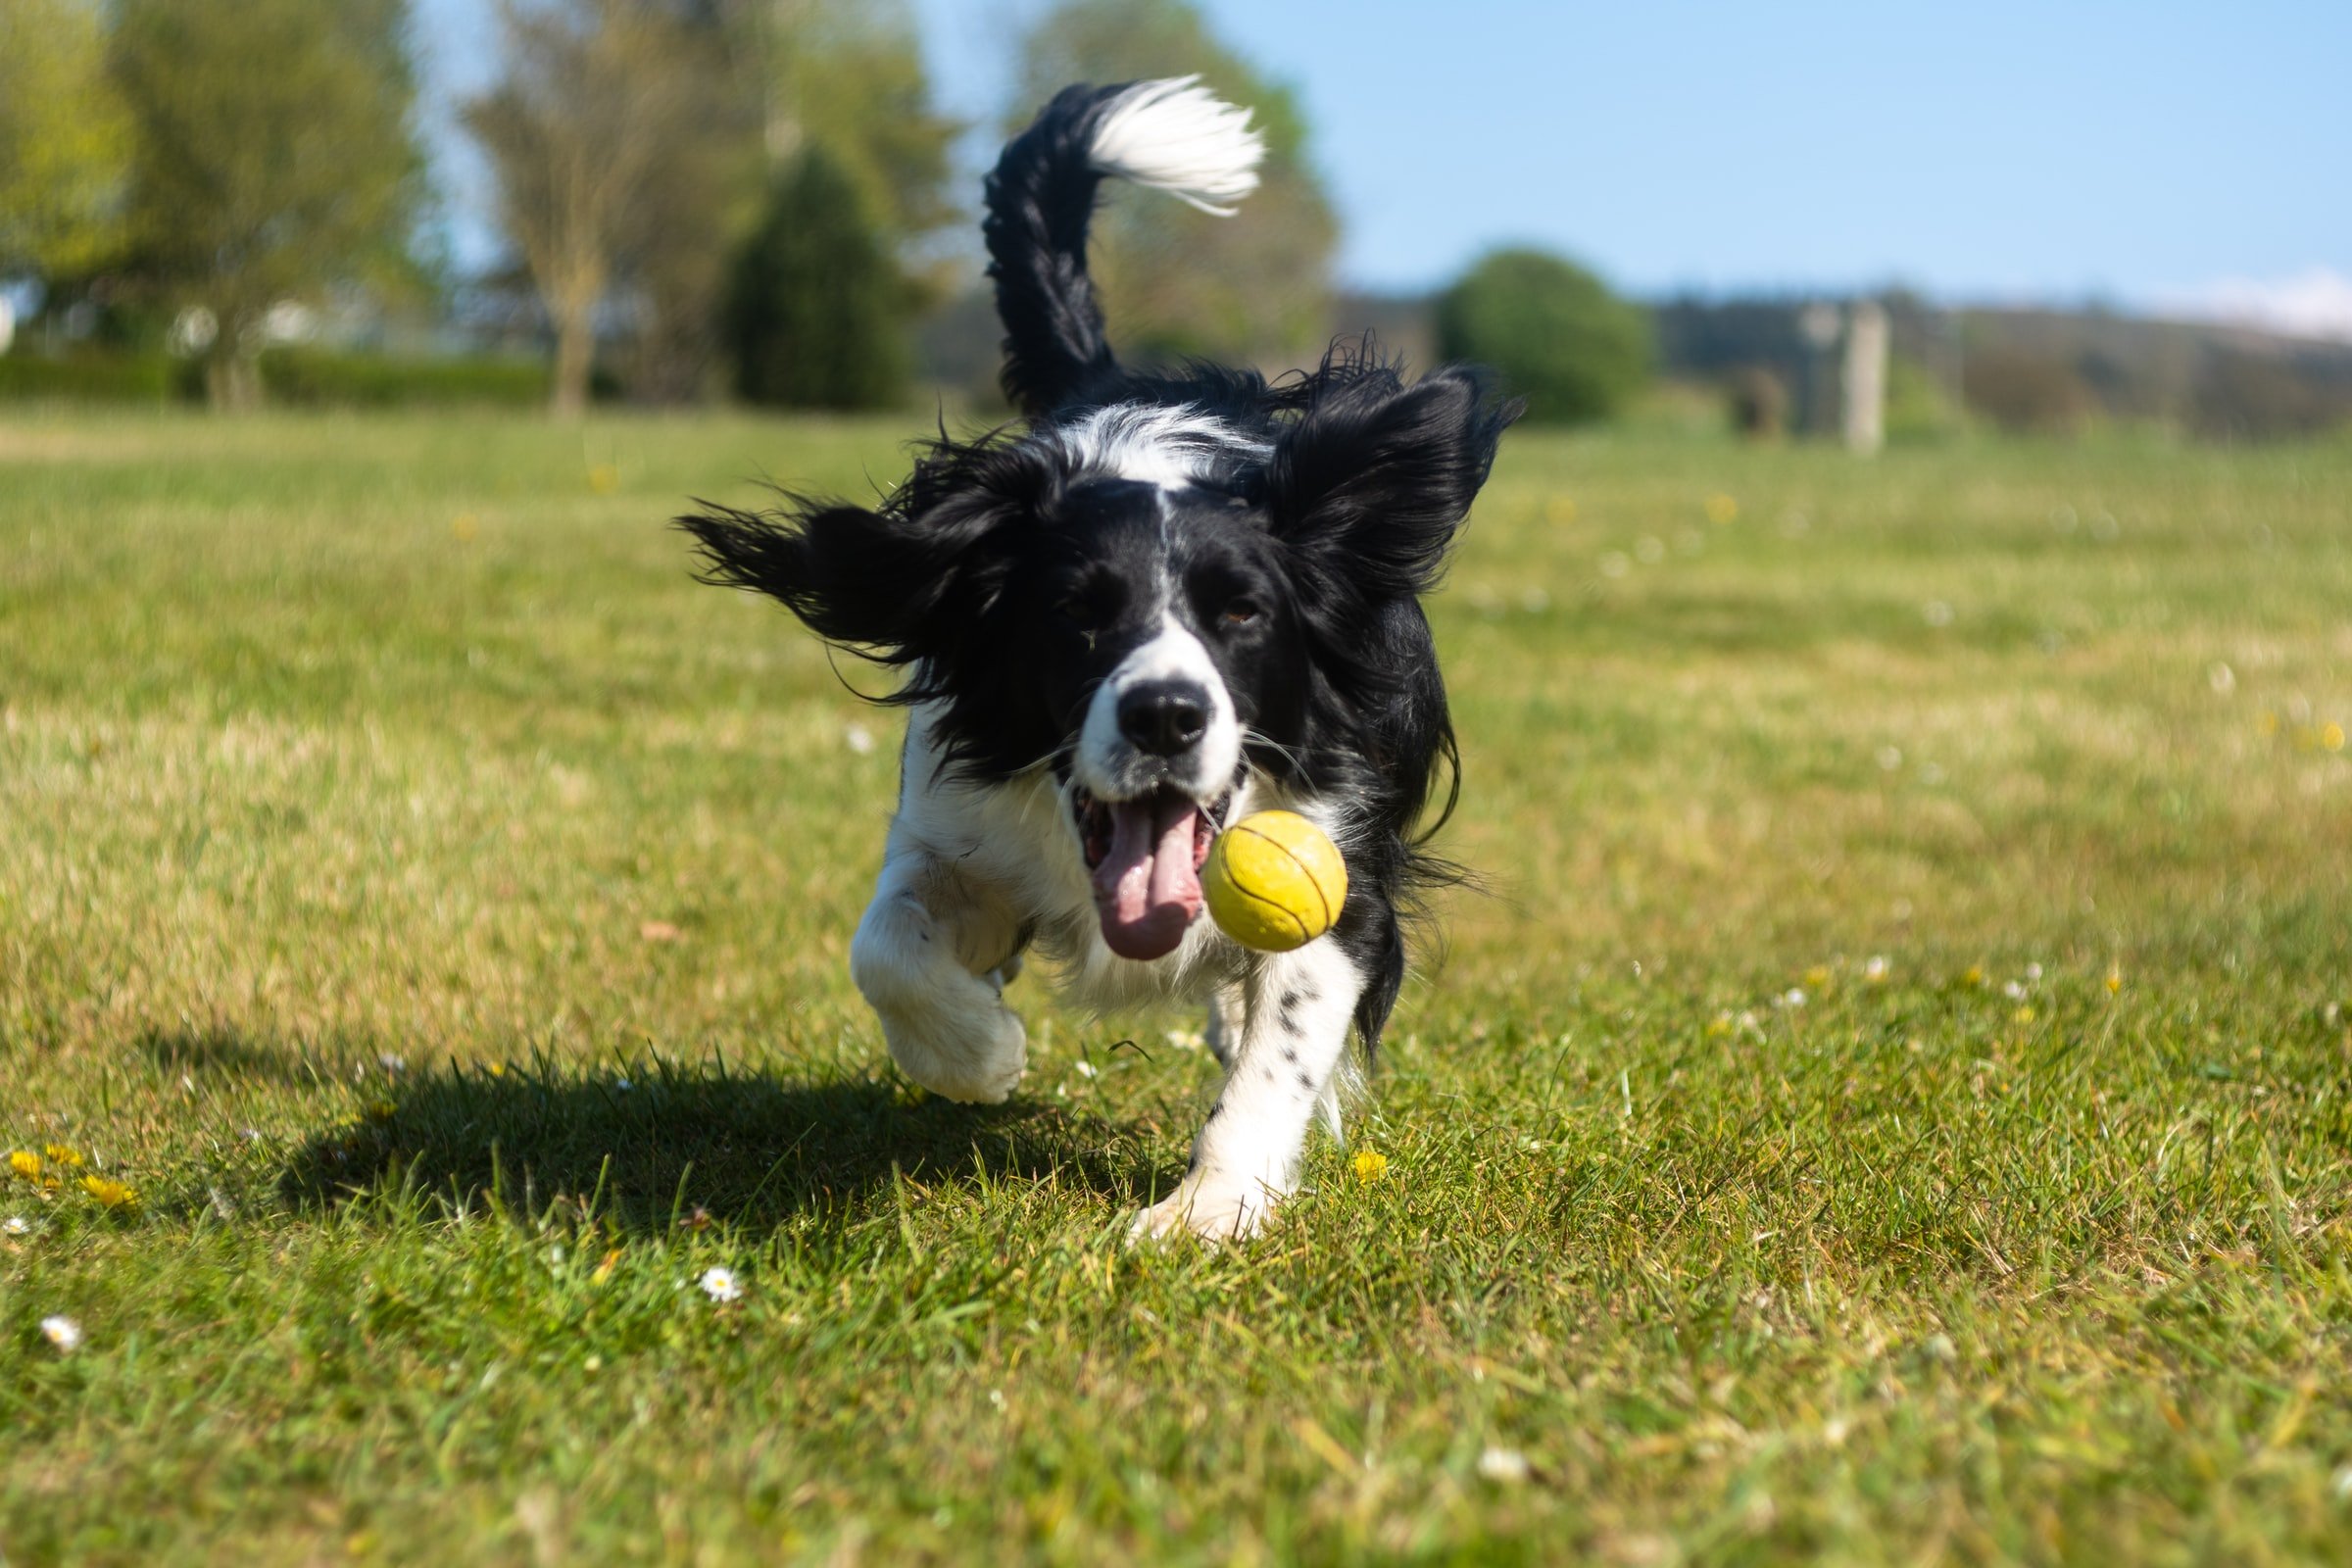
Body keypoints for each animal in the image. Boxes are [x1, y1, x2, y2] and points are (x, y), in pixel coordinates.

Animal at [682, 79, 1524, 1241]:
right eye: (1075, 615)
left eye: (1243, 613)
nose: (1165, 714)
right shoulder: (958, 817)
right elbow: (886, 945)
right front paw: (977, 1054)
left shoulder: (1342, 857)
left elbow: (1288, 1041)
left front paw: (1209, 1209)